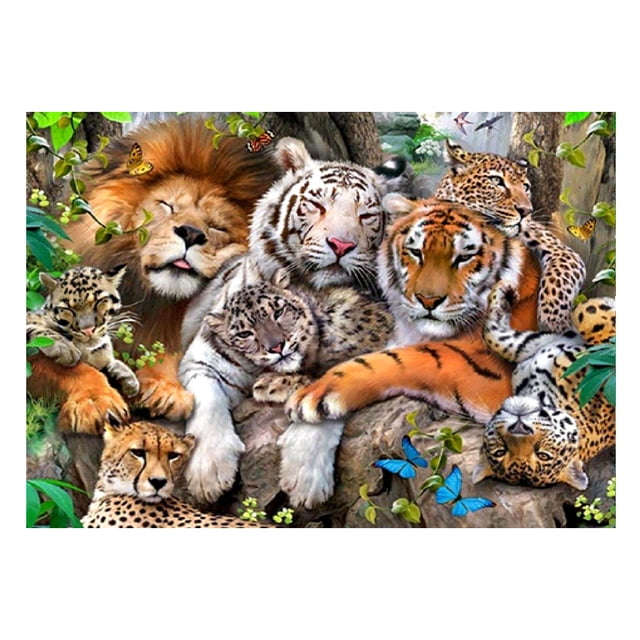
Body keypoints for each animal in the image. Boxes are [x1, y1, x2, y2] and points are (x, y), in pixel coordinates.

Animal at [27, 265, 139, 401]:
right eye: (67, 309)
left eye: (99, 301)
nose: (88, 330)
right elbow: (36, 328)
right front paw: (64, 348)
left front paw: (127, 376)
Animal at [178, 136, 398, 507]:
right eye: (316, 204)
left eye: (366, 215)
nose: (341, 244)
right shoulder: (201, 359)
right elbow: (205, 402)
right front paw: (208, 473)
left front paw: (304, 476)